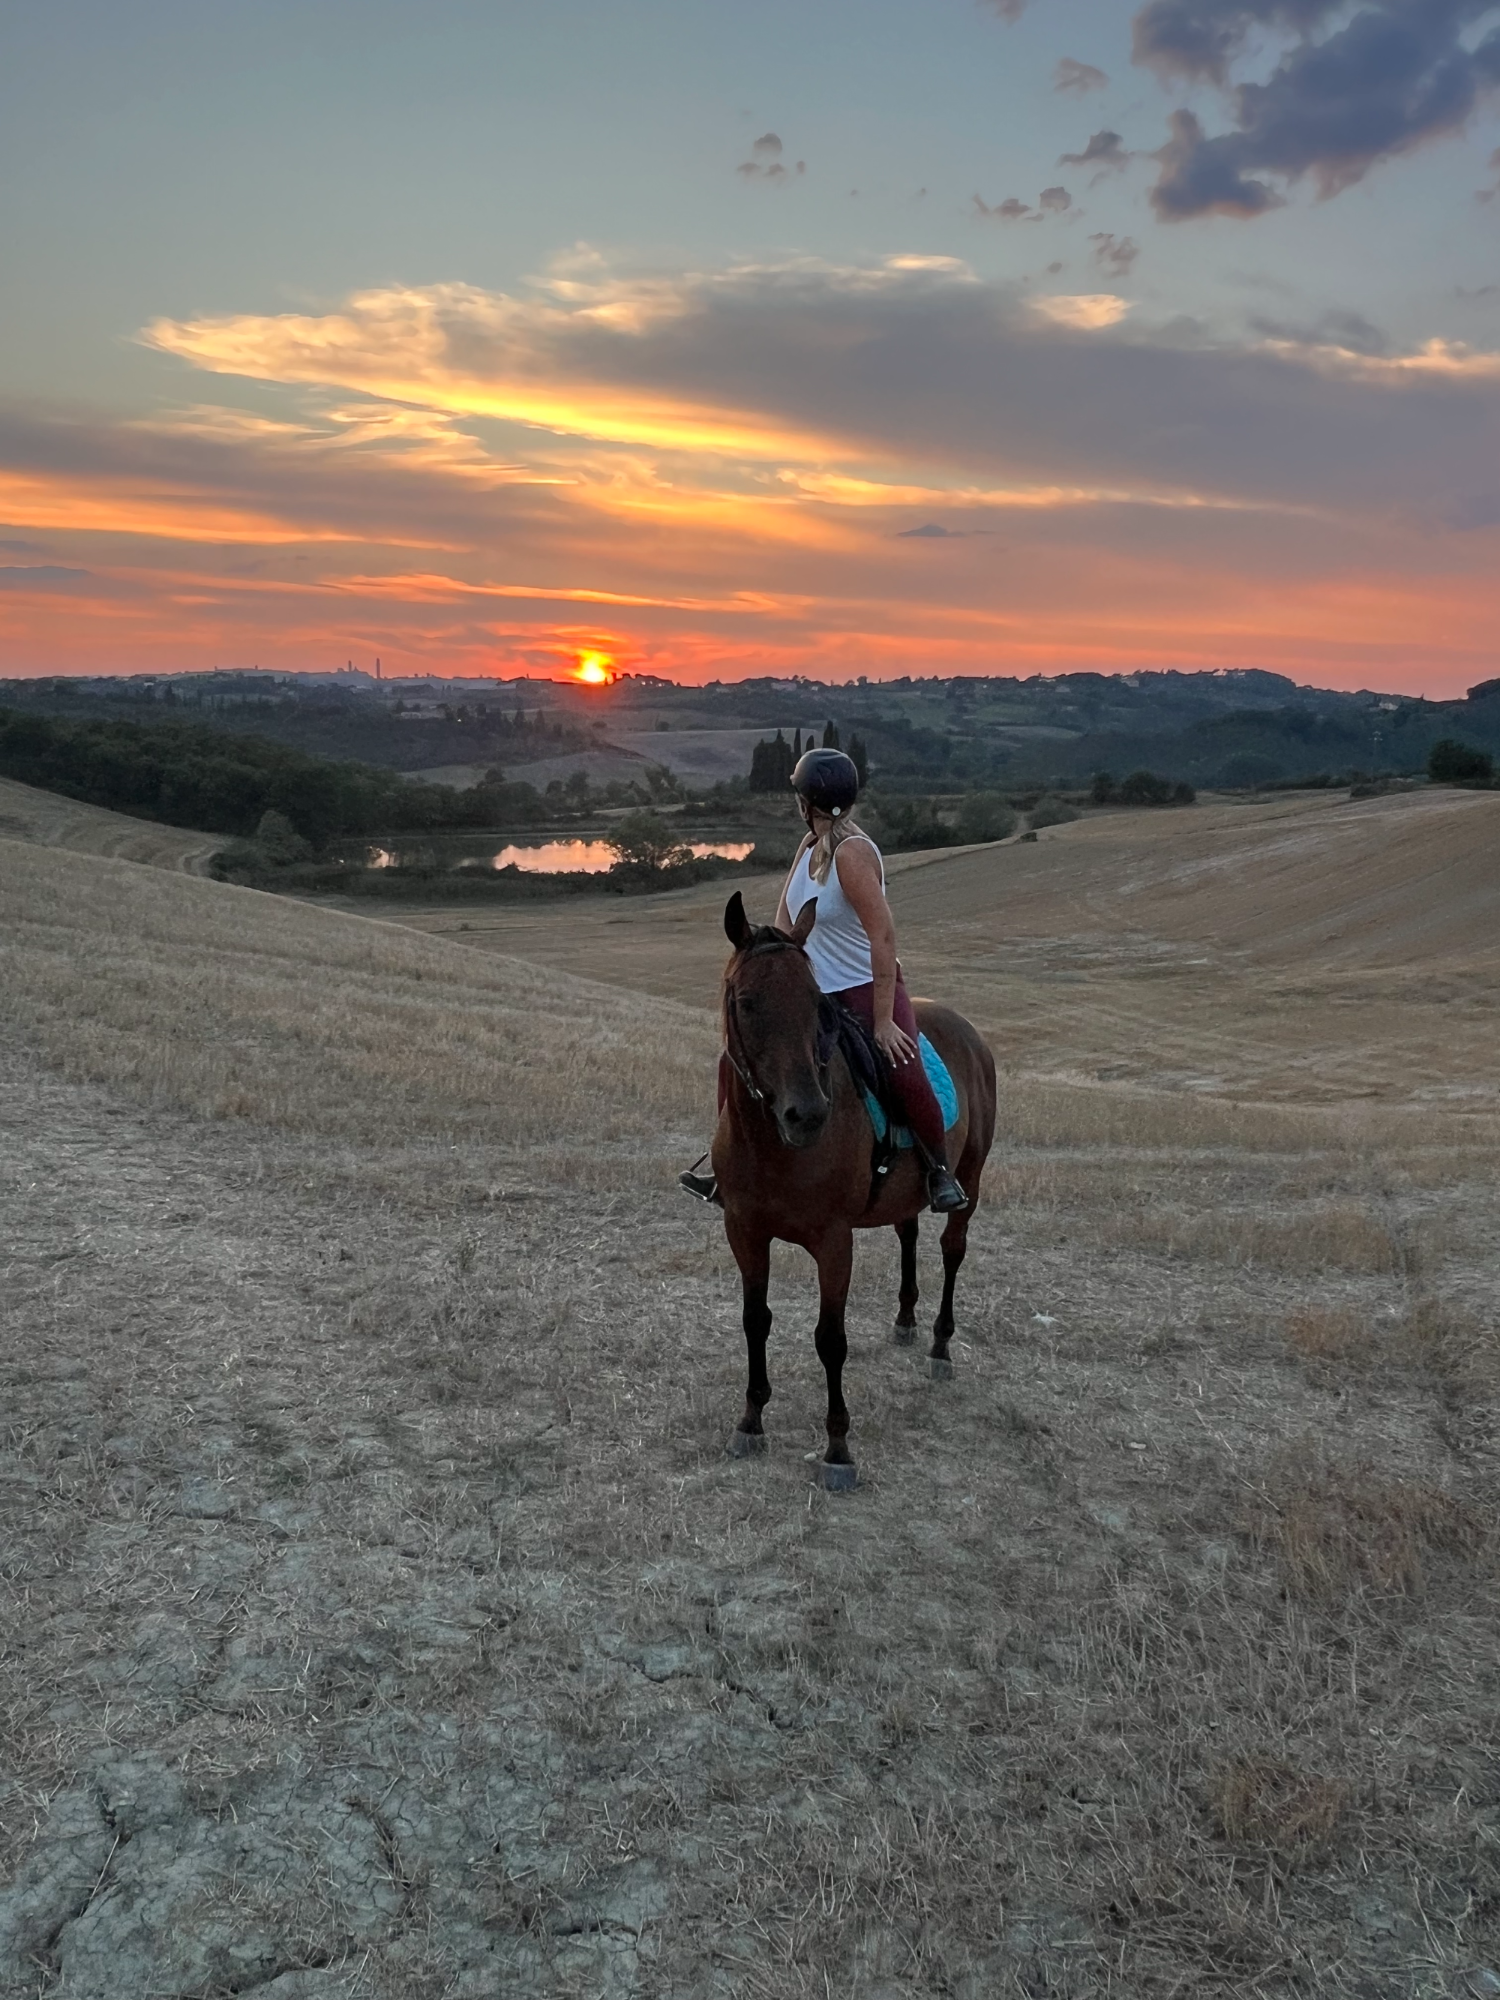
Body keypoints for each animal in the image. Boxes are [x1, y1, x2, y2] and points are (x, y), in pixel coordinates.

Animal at [711, 890, 997, 1489]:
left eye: (818, 1004)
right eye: (746, 1003)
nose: (806, 1115)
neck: (771, 1145)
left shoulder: (833, 1241)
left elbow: (830, 1338)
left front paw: (838, 1448)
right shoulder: (744, 1231)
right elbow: (755, 1320)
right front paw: (751, 1419)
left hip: (972, 1179)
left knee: (951, 1249)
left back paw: (939, 1344)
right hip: (905, 1192)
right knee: (910, 1234)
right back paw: (906, 1320)